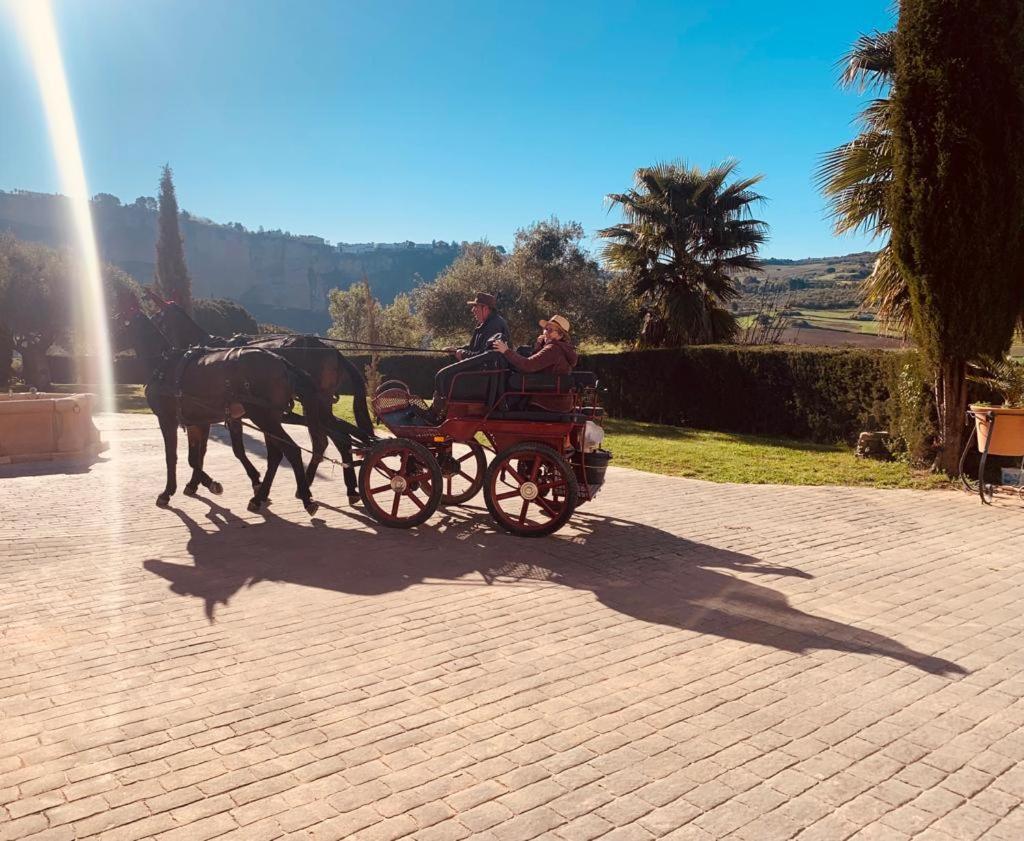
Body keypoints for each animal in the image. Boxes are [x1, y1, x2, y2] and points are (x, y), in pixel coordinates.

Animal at [112, 299, 321, 514]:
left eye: (115, 322)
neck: (164, 366)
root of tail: (281, 362)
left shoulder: (167, 420)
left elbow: (173, 457)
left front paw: (168, 492)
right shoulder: (197, 422)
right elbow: (194, 458)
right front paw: (205, 483)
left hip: (263, 415)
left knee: (291, 450)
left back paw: (304, 497)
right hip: (269, 417)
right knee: (277, 454)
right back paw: (260, 496)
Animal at [149, 292, 374, 501]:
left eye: (157, 318)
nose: (164, 351)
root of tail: (333, 351)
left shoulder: (227, 415)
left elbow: (233, 451)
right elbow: (205, 452)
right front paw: (198, 482)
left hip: (312, 405)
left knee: (330, 441)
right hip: (318, 406)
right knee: (340, 438)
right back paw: (344, 487)